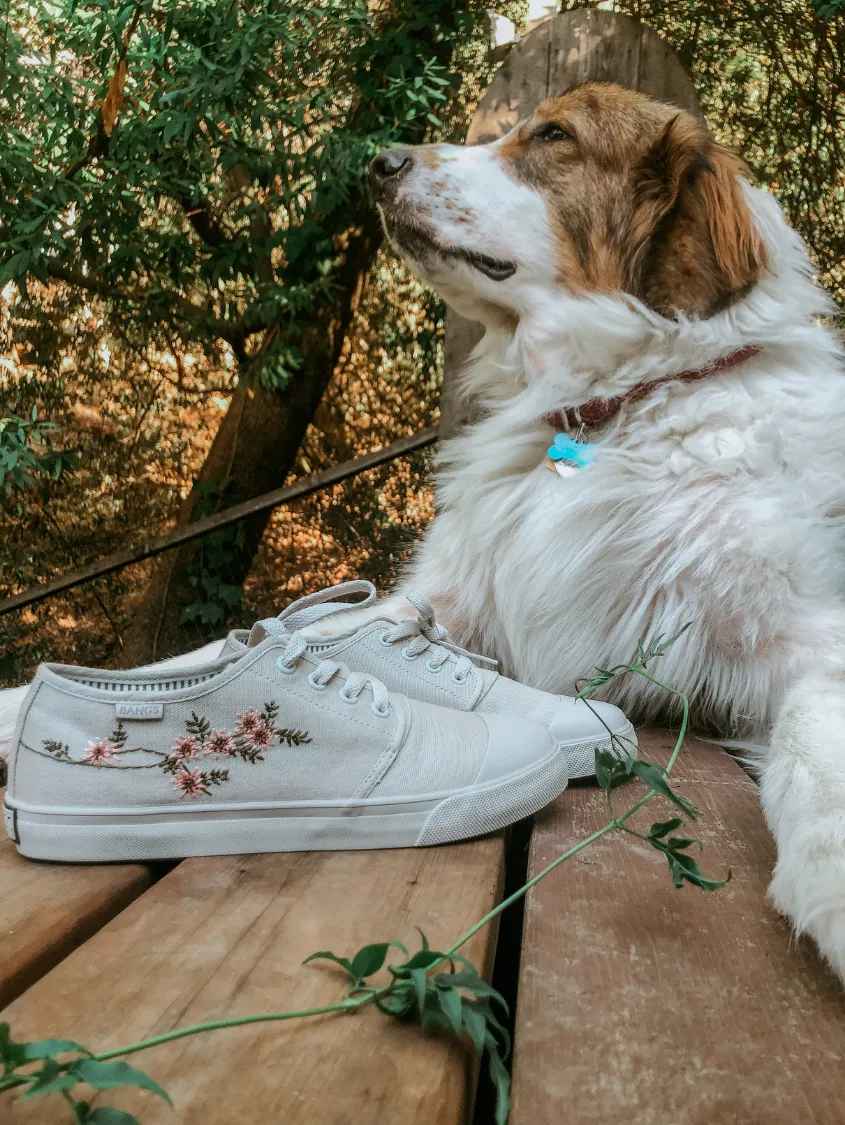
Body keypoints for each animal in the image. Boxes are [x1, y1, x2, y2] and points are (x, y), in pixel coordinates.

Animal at [360, 79, 845, 976]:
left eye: (553, 135)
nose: (377, 162)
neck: (621, 402)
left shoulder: (806, 633)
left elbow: (808, 729)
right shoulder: (446, 594)